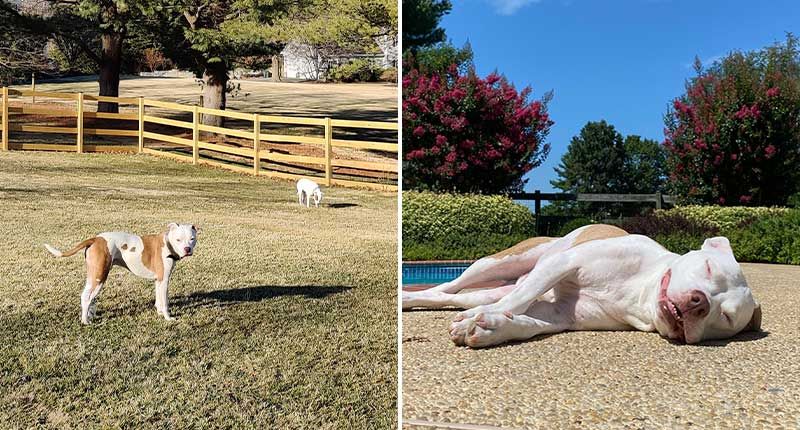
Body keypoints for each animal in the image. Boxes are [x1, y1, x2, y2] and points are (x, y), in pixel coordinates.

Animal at [45, 223, 198, 324]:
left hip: (93, 275)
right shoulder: (164, 280)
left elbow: (159, 300)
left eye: (191, 239)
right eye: (178, 239)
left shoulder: (158, 280)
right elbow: (165, 301)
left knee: (87, 295)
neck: (168, 244)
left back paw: (89, 315)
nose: (187, 249)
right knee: (87, 297)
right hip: (100, 276)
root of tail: (96, 239)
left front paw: (159, 312)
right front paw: (168, 317)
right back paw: (85, 321)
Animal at [404, 223, 760, 348]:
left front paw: (492, 327)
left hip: (489, 286)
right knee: (453, 285)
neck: (639, 293)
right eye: (709, 267)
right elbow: (521, 300)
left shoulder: (561, 316)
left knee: (447, 296)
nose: (700, 302)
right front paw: (480, 321)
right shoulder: (563, 264)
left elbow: (528, 323)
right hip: (500, 262)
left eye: (725, 316)